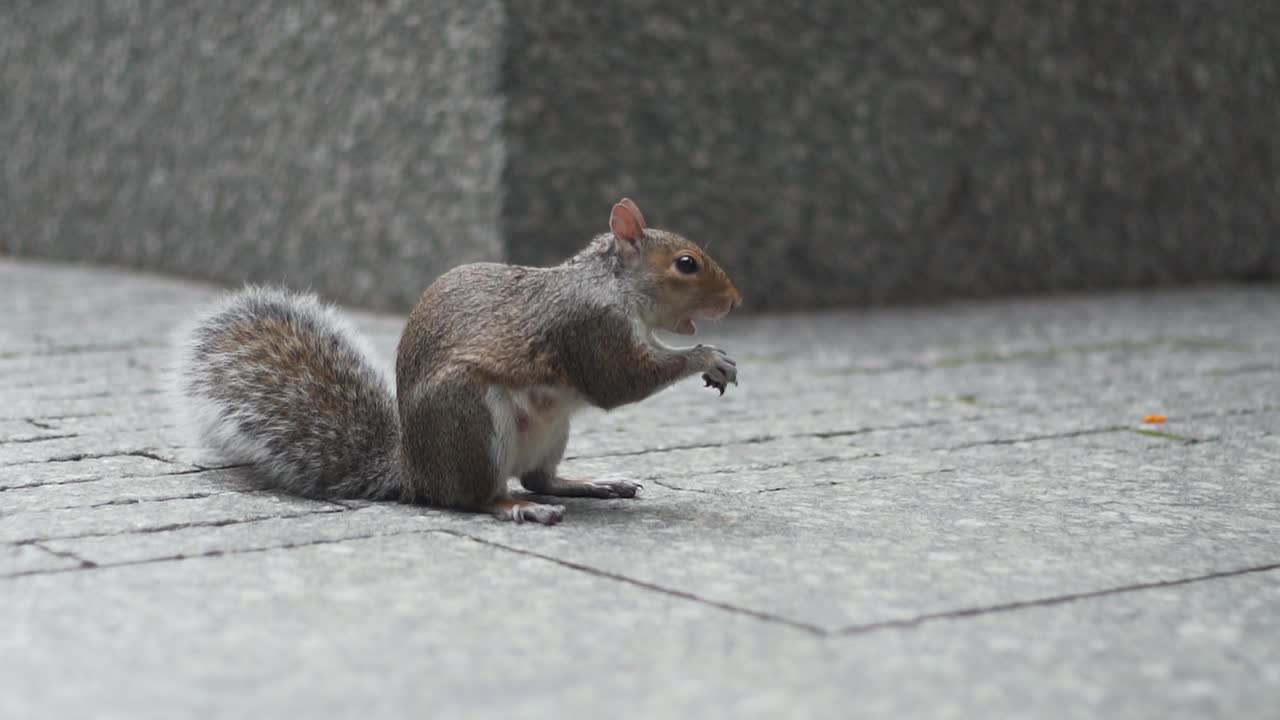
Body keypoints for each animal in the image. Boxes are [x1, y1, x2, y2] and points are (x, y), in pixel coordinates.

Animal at [178, 198, 742, 525]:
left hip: (550, 429)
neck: (612, 286)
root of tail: (415, 472)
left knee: (539, 477)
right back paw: (518, 508)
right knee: (474, 498)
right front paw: (706, 357)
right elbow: (620, 382)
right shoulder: (588, 329)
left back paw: (590, 484)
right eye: (686, 264)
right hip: (470, 416)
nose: (735, 301)